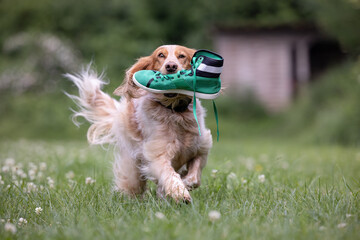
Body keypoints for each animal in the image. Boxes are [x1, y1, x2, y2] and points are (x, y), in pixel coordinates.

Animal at [65, 45, 212, 202]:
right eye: (160, 55)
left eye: (182, 56)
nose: (171, 66)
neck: (175, 112)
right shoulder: (157, 155)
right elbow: (169, 174)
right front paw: (180, 193)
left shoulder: (201, 147)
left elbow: (194, 178)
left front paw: (185, 184)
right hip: (132, 168)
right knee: (133, 185)